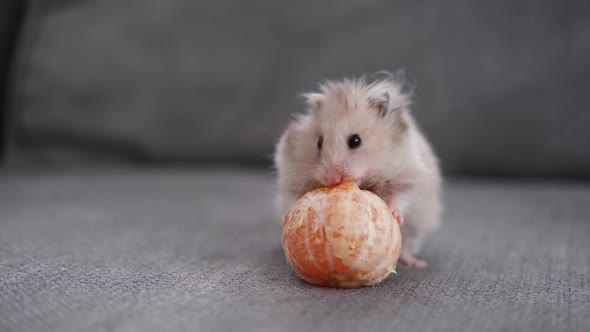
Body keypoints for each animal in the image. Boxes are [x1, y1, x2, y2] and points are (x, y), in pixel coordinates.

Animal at [276, 72, 442, 268]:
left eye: (356, 141)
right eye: (319, 142)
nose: (332, 178)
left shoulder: (409, 175)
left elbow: (401, 195)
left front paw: (394, 213)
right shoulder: (291, 178)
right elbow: (292, 198)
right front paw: (286, 217)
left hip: (416, 227)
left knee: (408, 246)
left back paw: (416, 263)